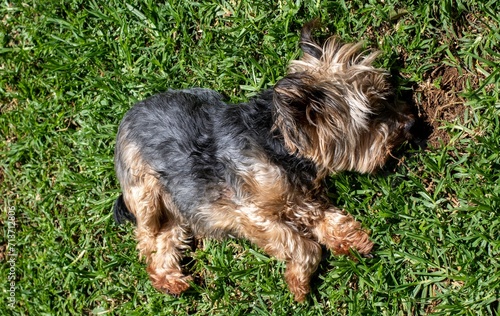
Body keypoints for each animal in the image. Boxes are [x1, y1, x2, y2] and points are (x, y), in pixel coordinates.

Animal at [113, 21, 414, 302]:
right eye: (374, 112)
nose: (410, 122)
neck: (281, 145)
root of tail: (127, 116)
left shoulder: (301, 197)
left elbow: (328, 218)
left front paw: (351, 239)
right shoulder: (249, 211)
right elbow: (304, 246)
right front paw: (299, 282)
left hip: (179, 205)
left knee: (166, 238)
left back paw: (169, 280)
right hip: (144, 191)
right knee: (146, 237)